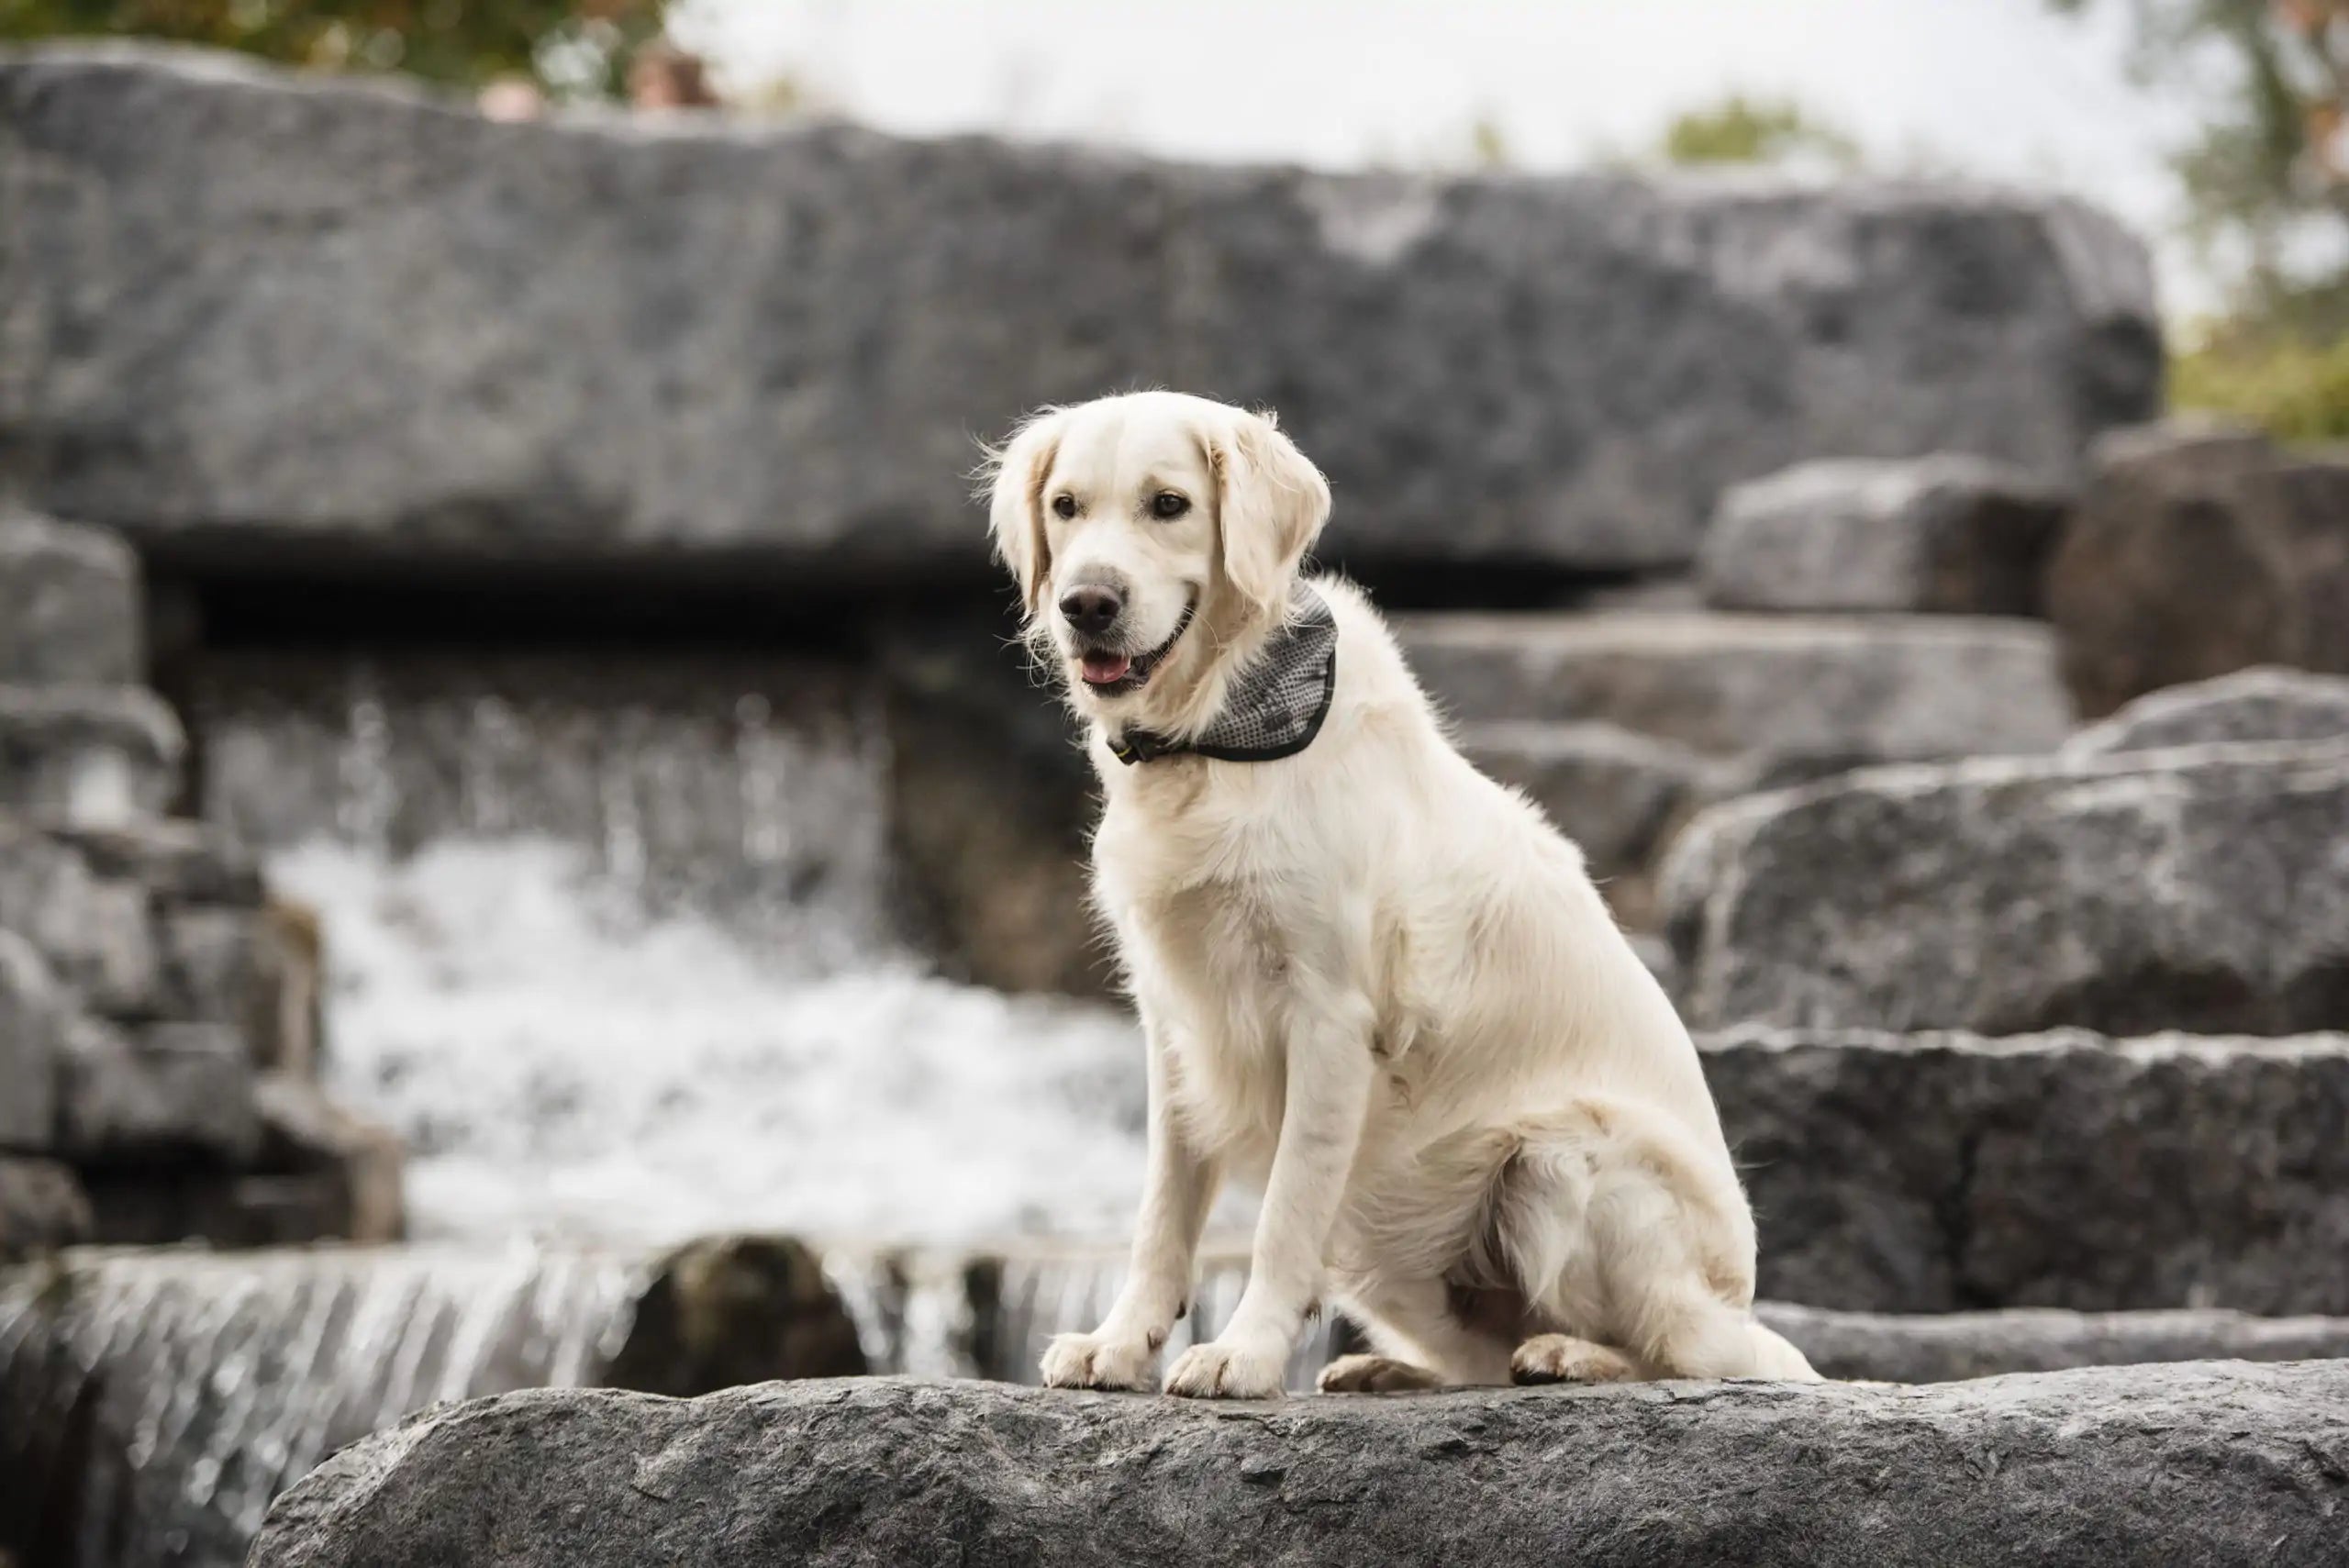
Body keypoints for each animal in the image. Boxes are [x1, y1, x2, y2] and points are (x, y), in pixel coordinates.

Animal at [982, 389, 1804, 1398]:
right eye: (1065, 507)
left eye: (1167, 504)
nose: (1086, 604)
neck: (1223, 732)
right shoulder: (1175, 1019)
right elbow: (1161, 1212)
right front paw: (1120, 1342)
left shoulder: (1328, 1019)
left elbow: (1284, 1212)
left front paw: (1244, 1353)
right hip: (1390, 1248)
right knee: (1480, 1360)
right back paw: (1391, 1368)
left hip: (1560, 1157)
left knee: (1692, 1351)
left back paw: (1571, 1354)